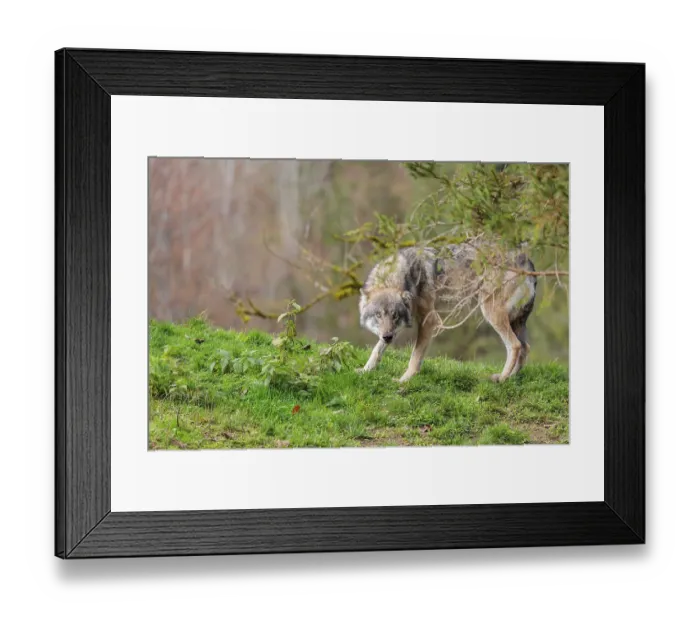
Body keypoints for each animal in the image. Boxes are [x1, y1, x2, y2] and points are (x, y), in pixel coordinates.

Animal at [358, 242, 537, 383]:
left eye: (395, 315)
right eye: (378, 315)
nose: (388, 336)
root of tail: (526, 260)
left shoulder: (429, 321)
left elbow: (415, 356)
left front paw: (404, 380)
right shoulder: (396, 329)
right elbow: (377, 349)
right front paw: (365, 369)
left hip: (491, 312)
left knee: (515, 345)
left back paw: (502, 378)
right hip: (514, 320)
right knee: (525, 347)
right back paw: (512, 377)